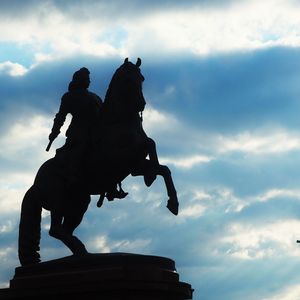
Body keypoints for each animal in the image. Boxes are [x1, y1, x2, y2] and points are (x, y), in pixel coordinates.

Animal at [18, 57, 178, 266]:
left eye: (142, 78)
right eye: (128, 79)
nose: (141, 104)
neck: (118, 122)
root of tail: (34, 185)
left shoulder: (134, 166)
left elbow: (162, 166)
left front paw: (172, 202)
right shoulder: (119, 158)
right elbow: (150, 143)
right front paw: (151, 178)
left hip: (78, 203)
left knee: (65, 229)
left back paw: (82, 252)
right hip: (59, 200)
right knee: (55, 230)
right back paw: (80, 250)